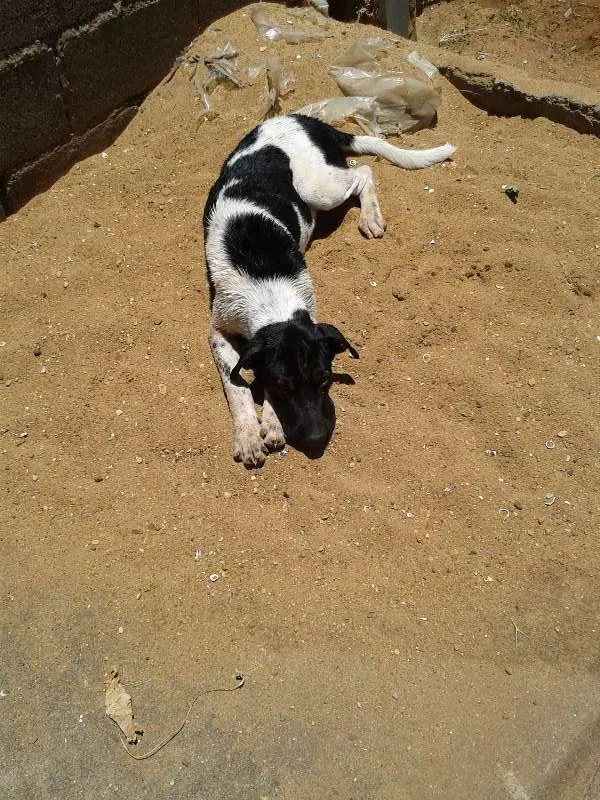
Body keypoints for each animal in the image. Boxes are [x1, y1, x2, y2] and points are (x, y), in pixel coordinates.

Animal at [203, 119, 454, 468]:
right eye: (283, 384)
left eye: (325, 378)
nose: (316, 439)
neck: (270, 294)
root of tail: (308, 120)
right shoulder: (218, 330)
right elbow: (236, 384)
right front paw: (249, 435)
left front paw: (272, 422)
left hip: (319, 188)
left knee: (363, 171)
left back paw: (370, 215)